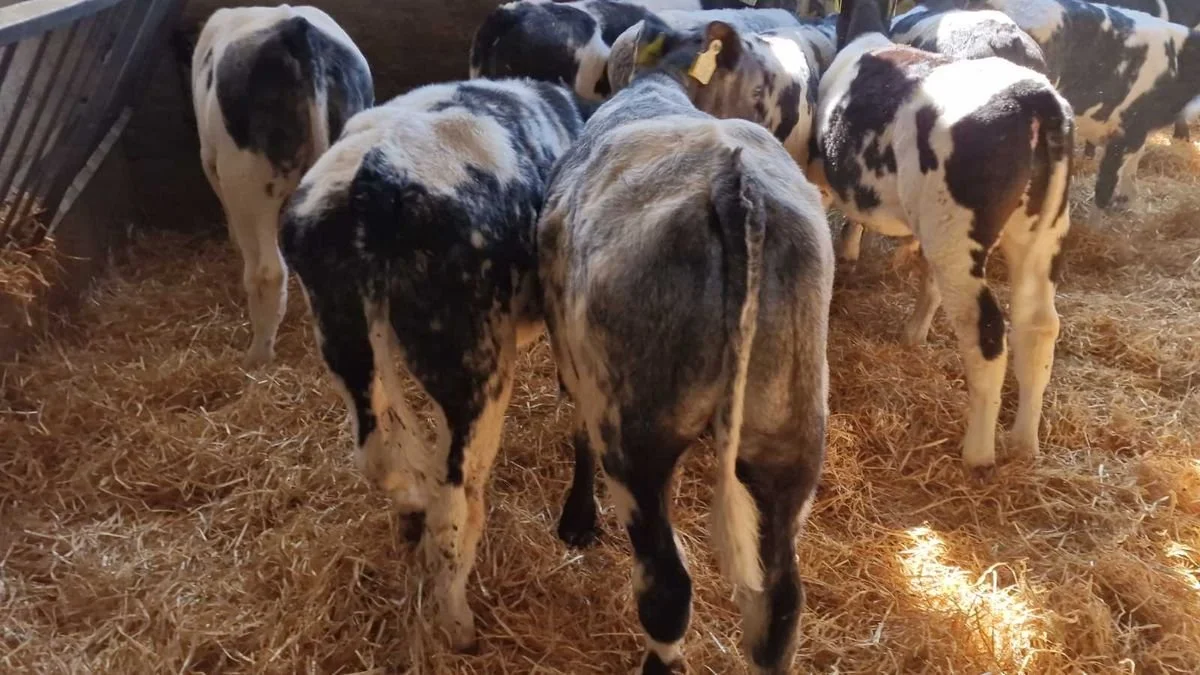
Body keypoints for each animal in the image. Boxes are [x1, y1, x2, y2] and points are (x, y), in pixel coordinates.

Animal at [280, 79, 590, 651]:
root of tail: (375, 178)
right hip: (475, 364)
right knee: (454, 503)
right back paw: (459, 622)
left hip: (342, 333)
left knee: (376, 454)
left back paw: (410, 504)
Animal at [540, 22, 833, 674]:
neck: (660, 84)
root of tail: (735, 186)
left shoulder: (574, 358)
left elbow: (576, 430)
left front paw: (577, 519)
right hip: (789, 435)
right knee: (780, 604)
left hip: (637, 435)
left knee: (667, 587)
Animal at [811, 0, 1074, 470]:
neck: (864, 35)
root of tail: (1035, 98)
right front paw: (914, 333)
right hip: (1038, 236)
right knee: (1039, 327)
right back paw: (1024, 442)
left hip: (960, 236)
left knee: (986, 331)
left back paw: (979, 454)